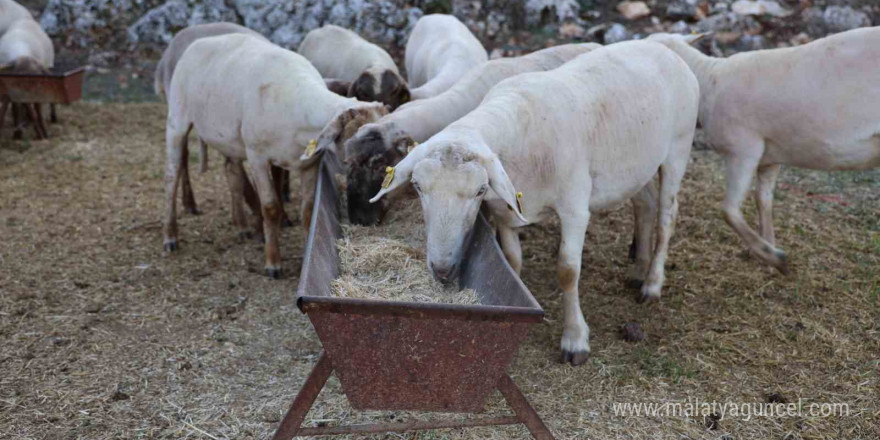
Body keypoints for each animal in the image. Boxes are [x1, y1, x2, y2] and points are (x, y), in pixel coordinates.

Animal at [165, 33, 384, 276]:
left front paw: (307, 254)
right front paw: (273, 262)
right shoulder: (257, 158)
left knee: (231, 171)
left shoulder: (310, 163)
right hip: (177, 121)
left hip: (229, 139)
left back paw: (241, 226)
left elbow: (308, 211)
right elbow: (270, 207)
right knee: (172, 176)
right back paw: (170, 236)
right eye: (353, 152)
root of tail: (200, 40)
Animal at [372, 41, 700, 364]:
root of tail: (663, 46)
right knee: (644, 205)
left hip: (678, 148)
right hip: (636, 167)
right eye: (417, 186)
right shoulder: (505, 211)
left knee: (667, 217)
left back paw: (652, 284)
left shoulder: (574, 209)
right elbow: (512, 259)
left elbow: (568, 271)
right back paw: (638, 270)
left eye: (480, 190)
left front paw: (575, 339)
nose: (442, 271)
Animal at [648, 28, 880, 272]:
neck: (708, 79)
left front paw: (774, 257)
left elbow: (729, 210)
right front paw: (768, 249)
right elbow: (763, 200)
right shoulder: (769, 157)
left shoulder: (743, 149)